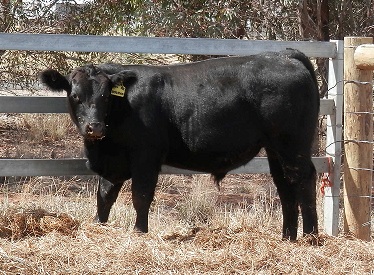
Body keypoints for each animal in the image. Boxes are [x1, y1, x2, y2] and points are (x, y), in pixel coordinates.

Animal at [40, 49, 318, 242]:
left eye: (105, 96)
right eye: (75, 96)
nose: (95, 127)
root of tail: (284, 55)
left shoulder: (146, 156)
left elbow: (141, 195)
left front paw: (139, 231)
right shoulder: (113, 162)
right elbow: (105, 196)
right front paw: (99, 225)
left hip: (292, 144)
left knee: (304, 179)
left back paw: (311, 237)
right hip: (275, 148)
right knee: (285, 184)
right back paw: (287, 237)